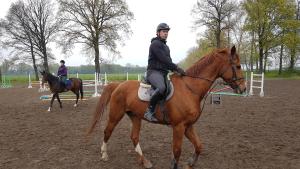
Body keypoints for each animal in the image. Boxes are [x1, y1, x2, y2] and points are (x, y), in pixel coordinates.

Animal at [86, 46, 246, 169]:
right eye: (238, 66)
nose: (243, 89)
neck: (189, 88)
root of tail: (118, 85)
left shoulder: (188, 126)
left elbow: (199, 146)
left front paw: (190, 163)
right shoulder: (179, 127)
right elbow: (177, 151)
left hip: (135, 117)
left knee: (134, 137)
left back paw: (144, 161)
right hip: (116, 114)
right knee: (108, 131)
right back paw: (104, 154)